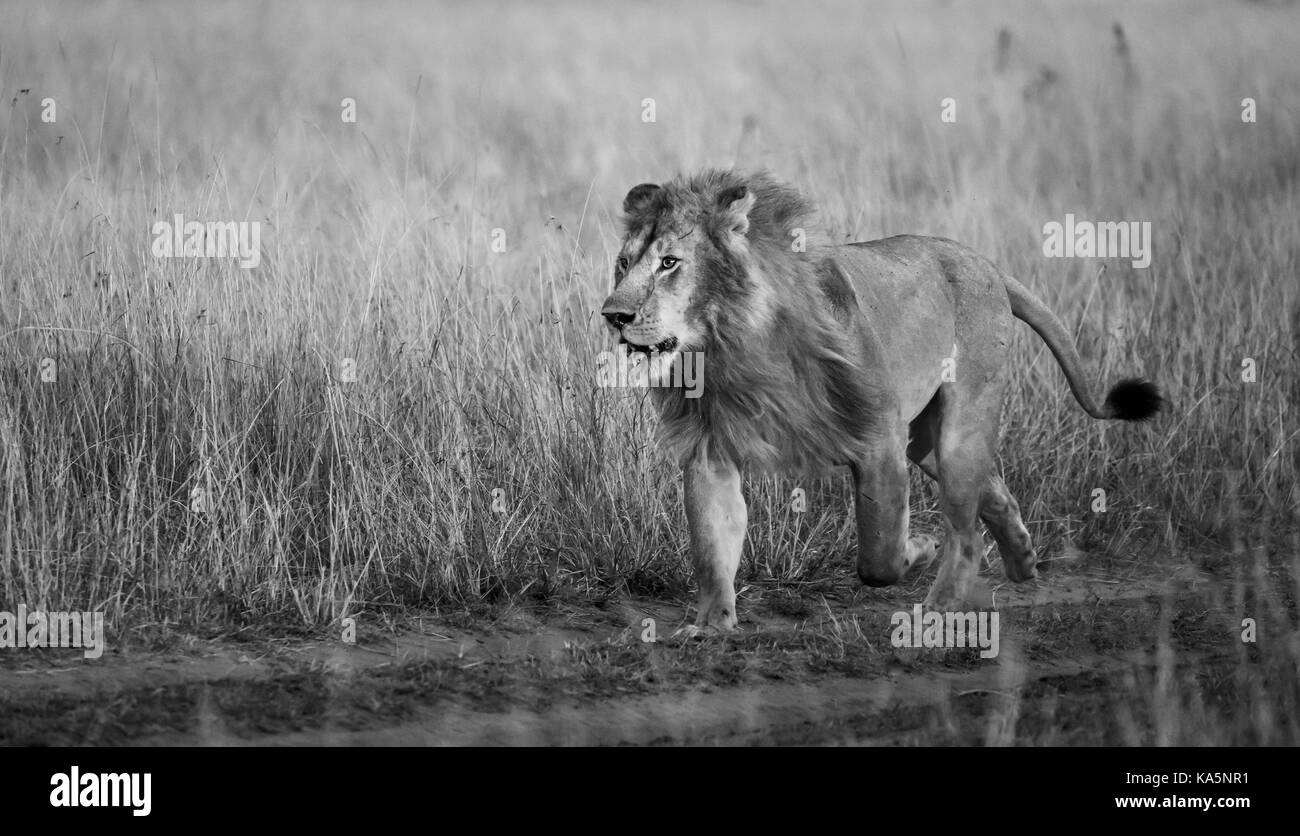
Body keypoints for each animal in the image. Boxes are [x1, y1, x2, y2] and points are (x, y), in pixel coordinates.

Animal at [598, 170, 1159, 631]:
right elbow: (711, 545)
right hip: (925, 441)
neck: (732, 345)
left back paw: (939, 608)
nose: (613, 315)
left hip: (957, 427)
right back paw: (1022, 560)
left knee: (967, 533)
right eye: (623, 263)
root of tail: (982, 262)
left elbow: (879, 555)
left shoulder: (877, 440)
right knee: (995, 491)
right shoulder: (710, 448)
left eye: (670, 263)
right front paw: (710, 626)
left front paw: (921, 547)